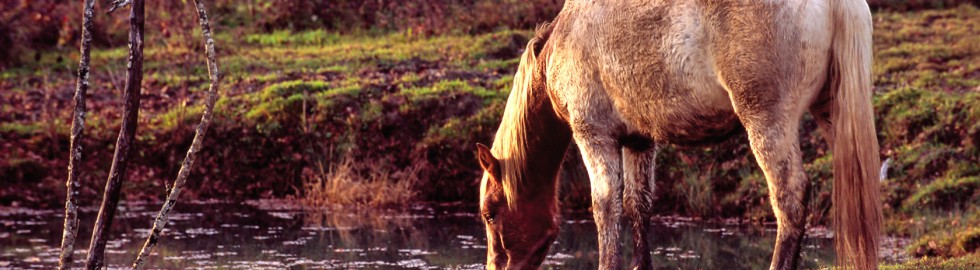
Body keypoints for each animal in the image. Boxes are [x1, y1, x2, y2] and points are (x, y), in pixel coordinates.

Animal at [472, 0, 880, 270]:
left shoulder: (594, 136)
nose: (495, 267)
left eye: (490, 214)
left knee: (790, 198)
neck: (564, 41)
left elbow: (605, 207)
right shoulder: (639, 140)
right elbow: (638, 205)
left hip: (767, 121)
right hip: (832, 113)